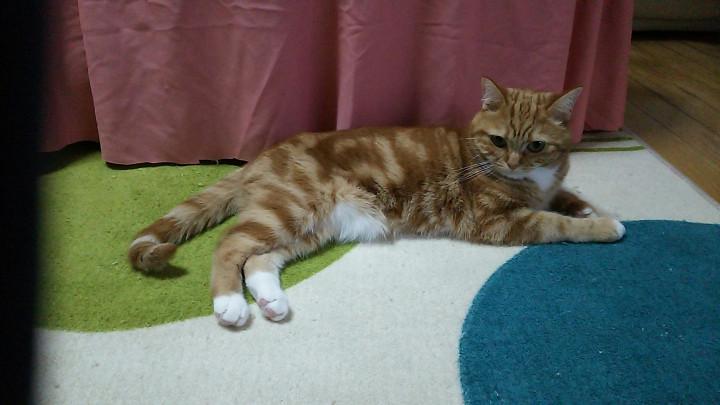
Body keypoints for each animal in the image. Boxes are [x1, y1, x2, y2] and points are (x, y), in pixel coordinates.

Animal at [128, 78, 624, 328]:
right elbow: (556, 224)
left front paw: (582, 205)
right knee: (230, 246)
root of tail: (260, 158)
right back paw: (230, 303)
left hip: (310, 226)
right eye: (498, 140)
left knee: (259, 259)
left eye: (536, 146)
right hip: (292, 208)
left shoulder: (544, 185)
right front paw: (603, 224)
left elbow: (563, 197)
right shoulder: (498, 222)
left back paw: (271, 302)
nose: (513, 161)